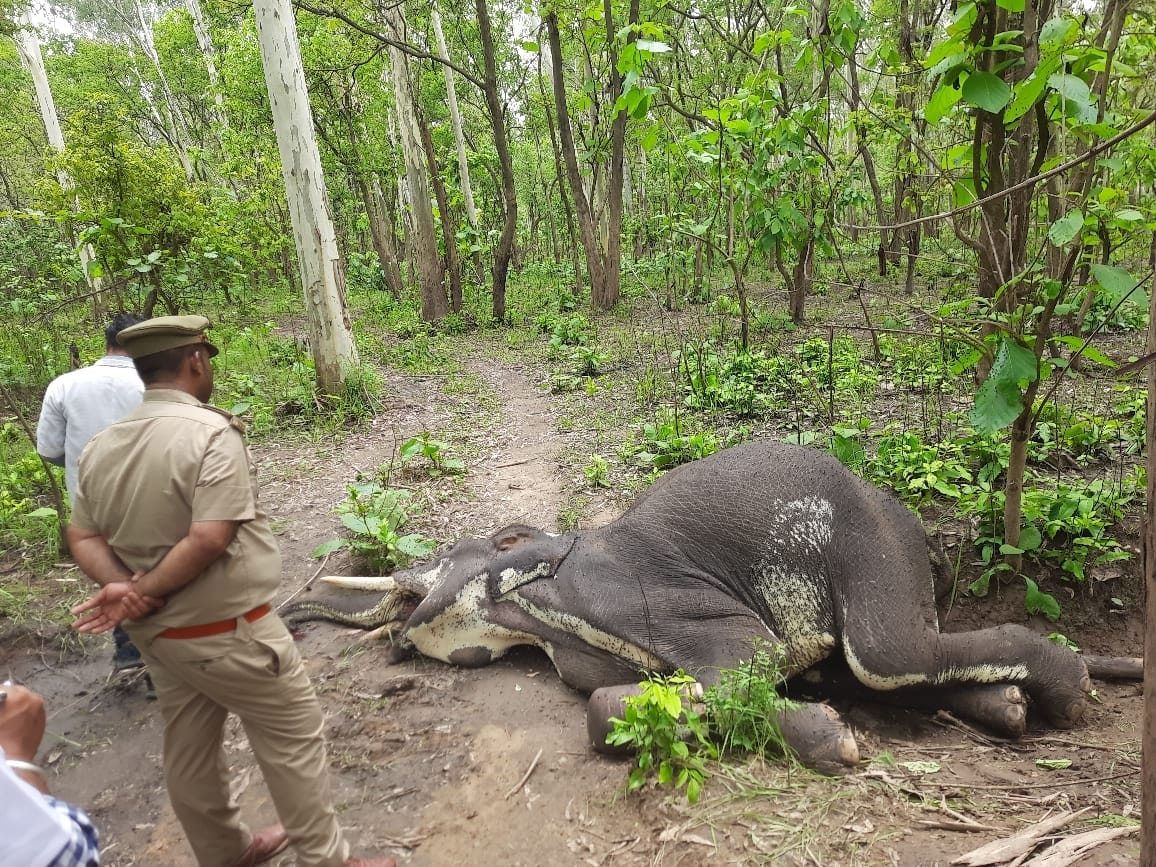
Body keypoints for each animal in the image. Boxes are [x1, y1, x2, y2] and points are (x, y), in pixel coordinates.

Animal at [285, 441, 1109, 772]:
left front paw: (832, 743)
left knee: (888, 655)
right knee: (872, 670)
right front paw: (827, 732)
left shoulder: (634, 596)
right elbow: (604, 705)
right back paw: (1008, 709)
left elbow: (745, 660)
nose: (298, 605)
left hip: (876, 547)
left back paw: (1066, 689)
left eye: (450, 551)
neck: (530, 614)